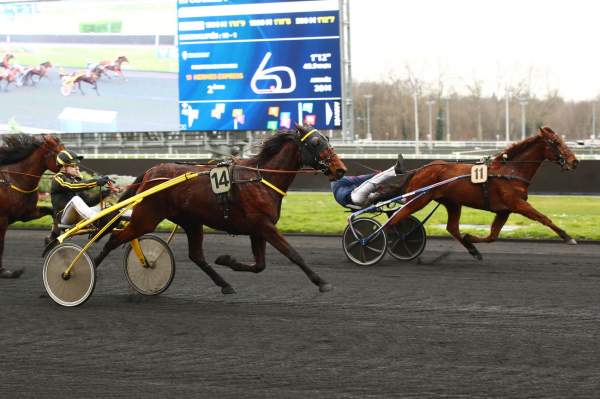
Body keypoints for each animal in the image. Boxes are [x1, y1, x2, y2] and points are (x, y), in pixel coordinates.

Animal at [0, 134, 64, 278]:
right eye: (59, 153)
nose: (76, 173)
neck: (13, 180)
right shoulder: (2, 219)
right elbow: (1, 245)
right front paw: (4, 271)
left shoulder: (26, 213)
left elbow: (51, 211)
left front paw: (51, 237)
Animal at [94, 126, 346, 296]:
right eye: (316, 142)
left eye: (326, 139)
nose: (340, 169)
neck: (261, 178)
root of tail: (151, 172)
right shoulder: (264, 226)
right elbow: (293, 254)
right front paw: (321, 282)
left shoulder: (258, 229)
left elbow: (260, 265)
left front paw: (227, 260)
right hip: (147, 217)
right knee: (114, 238)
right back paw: (90, 268)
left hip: (191, 222)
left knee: (196, 255)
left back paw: (224, 284)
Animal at [380, 126, 580, 260]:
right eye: (557, 143)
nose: (575, 161)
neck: (510, 171)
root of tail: (419, 170)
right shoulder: (517, 204)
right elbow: (543, 218)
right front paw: (568, 237)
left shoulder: (504, 210)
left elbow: (493, 236)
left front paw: (470, 238)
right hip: (418, 200)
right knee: (393, 220)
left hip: (452, 203)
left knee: (452, 227)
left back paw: (472, 249)